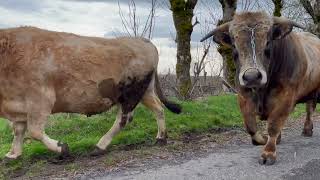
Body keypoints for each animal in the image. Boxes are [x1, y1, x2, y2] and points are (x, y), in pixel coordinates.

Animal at [0, 26, 180, 160]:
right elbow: (18, 130)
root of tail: (142, 40)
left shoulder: (40, 99)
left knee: (124, 119)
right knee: (158, 108)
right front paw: (13, 154)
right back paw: (161, 138)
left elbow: (35, 131)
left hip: (131, 93)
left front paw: (62, 148)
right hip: (144, 91)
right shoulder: (18, 105)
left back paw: (100, 146)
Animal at [201, 11, 320, 165]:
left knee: (309, 108)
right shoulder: (243, 95)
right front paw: (263, 139)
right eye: (234, 45)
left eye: (268, 42)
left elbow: (274, 125)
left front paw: (268, 153)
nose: (252, 76)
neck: (262, 90)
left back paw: (307, 130)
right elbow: (251, 126)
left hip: (313, 91)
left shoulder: (286, 96)